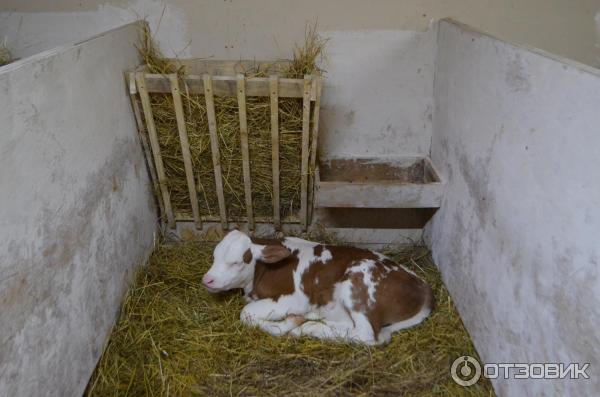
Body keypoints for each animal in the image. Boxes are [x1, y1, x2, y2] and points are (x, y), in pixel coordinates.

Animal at [202, 230, 432, 344]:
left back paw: (305, 327)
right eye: (214, 256)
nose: (208, 279)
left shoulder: (294, 299)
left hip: (357, 286)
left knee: (368, 335)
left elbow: (246, 313)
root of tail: (423, 288)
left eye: (236, 262)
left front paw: (288, 323)